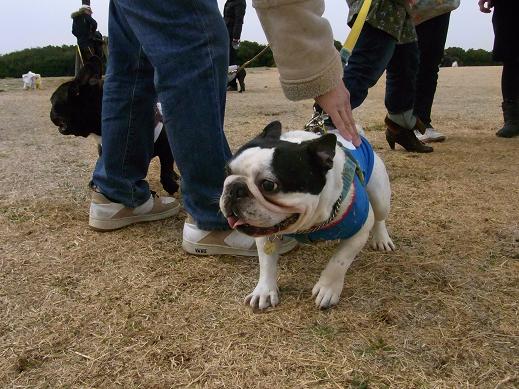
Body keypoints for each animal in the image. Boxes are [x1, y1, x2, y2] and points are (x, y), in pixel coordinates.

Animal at [219, 121, 394, 310]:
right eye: (227, 171)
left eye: (268, 185)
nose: (234, 188)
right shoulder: (264, 231)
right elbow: (266, 261)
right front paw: (264, 290)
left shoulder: (359, 231)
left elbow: (339, 261)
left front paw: (327, 289)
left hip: (380, 196)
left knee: (380, 216)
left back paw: (382, 239)